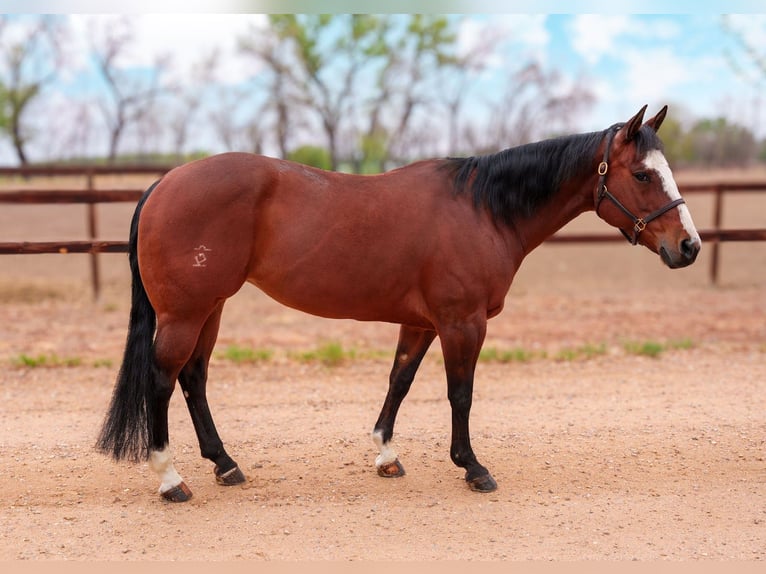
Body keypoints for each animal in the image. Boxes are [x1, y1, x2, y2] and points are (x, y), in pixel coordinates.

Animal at [97, 105, 700, 502]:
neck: (483, 209)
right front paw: (472, 467)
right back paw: (171, 479)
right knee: (162, 380)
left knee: (194, 378)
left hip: (212, 308)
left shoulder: (421, 323)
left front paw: (386, 455)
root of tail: (164, 183)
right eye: (642, 174)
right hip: (186, 313)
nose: (689, 246)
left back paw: (225, 464)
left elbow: (400, 381)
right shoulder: (462, 324)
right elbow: (461, 394)